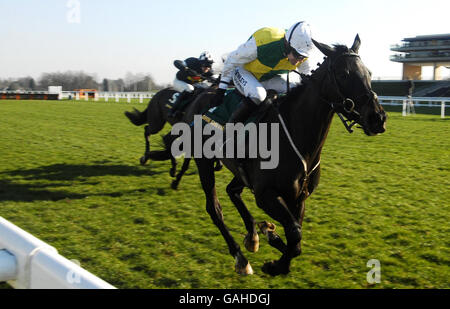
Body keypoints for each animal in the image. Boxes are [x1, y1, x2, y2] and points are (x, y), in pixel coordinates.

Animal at [186, 35, 386, 276]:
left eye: (369, 73)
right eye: (343, 74)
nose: (377, 118)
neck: (296, 136)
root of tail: (200, 95)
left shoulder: (299, 197)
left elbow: (296, 239)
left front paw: (273, 241)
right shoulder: (265, 195)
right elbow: (295, 233)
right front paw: (275, 264)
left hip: (241, 173)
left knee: (232, 191)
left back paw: (255, 234)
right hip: (204, 162)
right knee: (214, 209)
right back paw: (241, 258)